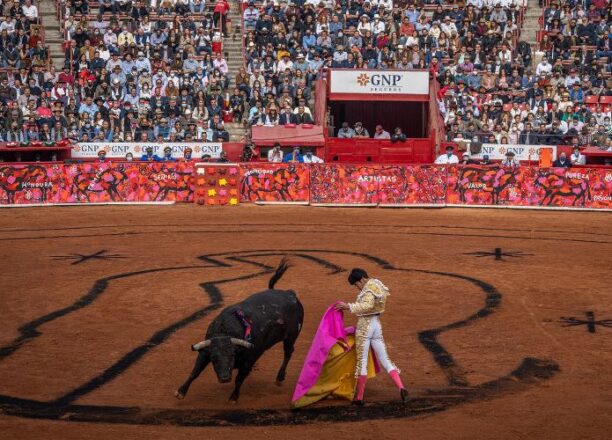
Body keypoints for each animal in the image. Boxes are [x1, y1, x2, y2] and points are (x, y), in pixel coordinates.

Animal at [175, 262, 304, 402]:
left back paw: (279, 377)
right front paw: (181, 391)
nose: (225, 378)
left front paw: (233, 397)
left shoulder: (249, 360)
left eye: (232, 355)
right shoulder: (205, 352)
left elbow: (239, 379)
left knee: (288, 353)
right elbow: (195, 372)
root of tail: (290, 293)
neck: (226, 331)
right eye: (214, 358)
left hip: (291, 336)